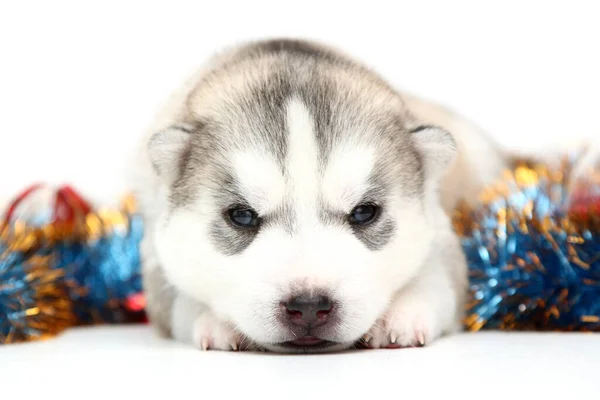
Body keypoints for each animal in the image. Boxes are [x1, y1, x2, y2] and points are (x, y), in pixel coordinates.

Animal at [130, 38, 506, 354]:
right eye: (242, 215)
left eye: (364, 212)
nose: (309, 306)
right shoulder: (155, 260)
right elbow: (181, 301)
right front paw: (216, 321)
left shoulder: (441, 238)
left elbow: (436, 278)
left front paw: (403, 313)